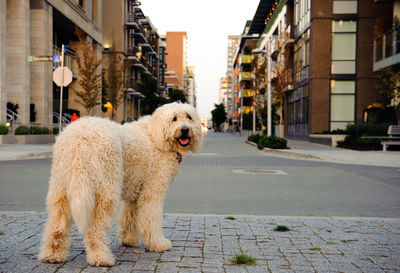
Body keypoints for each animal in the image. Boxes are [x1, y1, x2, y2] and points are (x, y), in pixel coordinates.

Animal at [38, 102, 203, 266]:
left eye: (188, 117)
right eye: (174, 118)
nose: (185, 129)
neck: (157, 136)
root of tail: (78, 140)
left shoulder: (135, 193)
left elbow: (129, 217)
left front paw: (128, 240)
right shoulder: (152, 192)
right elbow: (150, 220)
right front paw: (158, 244)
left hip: (61, 188)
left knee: (57, 224)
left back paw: (53, 255)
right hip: (106, 190)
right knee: (95, 228)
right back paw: (100, 257)